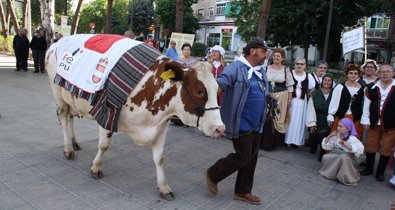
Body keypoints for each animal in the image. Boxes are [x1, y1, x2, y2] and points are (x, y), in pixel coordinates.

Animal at [44, 39, 224, 200]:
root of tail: (56, 43)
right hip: (58, 94)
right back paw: (68, 149)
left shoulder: (161, 125)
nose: (220, 128)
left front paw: (164, 187)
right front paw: (96, 168)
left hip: (69, 99)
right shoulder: (107, 111)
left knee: (70, 118)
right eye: (199, 91)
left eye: (218, 90)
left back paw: (74, 142)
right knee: (63, 117)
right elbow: (103, 145)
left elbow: (159, 158)